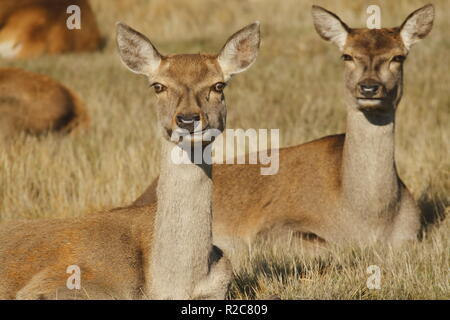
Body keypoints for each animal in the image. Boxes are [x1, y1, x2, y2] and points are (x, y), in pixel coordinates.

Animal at [132, 4, 434, 258]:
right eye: (346, 55)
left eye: (398, 57)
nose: (369, 87)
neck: (368, 218)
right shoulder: (272, 231)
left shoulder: (413, 235)